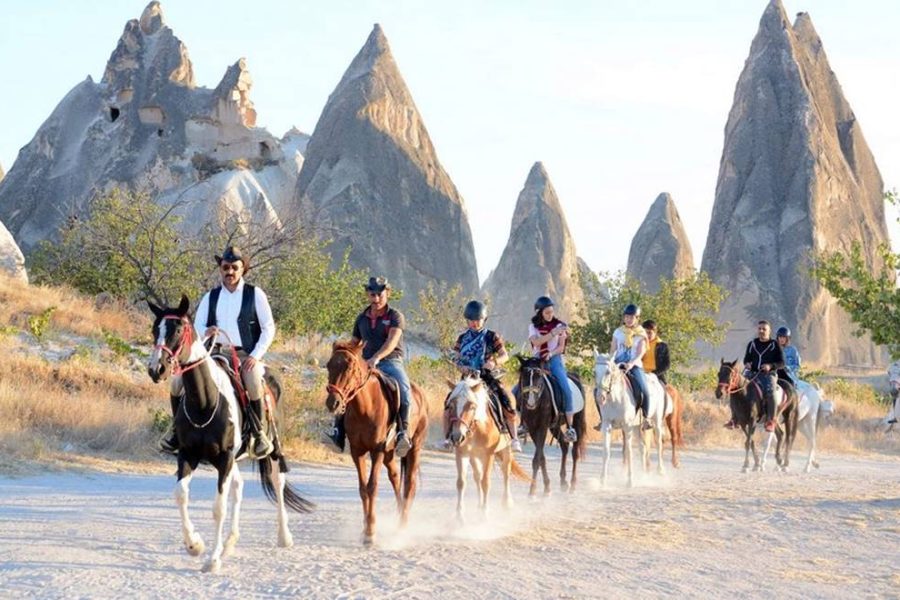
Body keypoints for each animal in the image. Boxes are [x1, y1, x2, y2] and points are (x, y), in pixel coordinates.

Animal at [148, 298, 312, 576]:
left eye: (178, 330)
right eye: (154, 329)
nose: (156, 369)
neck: (205, 401)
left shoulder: (224, 459)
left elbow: (218, 509)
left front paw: (212, 560)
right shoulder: (188, 455)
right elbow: (181, 495)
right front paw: (195, 545)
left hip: (272, 449)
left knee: (277, 482)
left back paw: (284, 536)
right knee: (239, 486)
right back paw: (230, 543)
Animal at [324, 340, 426, 548]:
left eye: (350, 367)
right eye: (329, 365)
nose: (333, 403)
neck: (365, 407)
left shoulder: (376, 451)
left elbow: (372, 487)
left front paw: (371, 533)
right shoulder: (358, 452)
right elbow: (363, 489)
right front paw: (365, 530)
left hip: (414, 448)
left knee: (409, 485)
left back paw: (403, 526)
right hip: (389, 453)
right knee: (395, 477)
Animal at [516, 358, 588, 494]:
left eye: (539, 376)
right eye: (524, 376)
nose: (531, 402)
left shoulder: (542, 428)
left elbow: (536, 459)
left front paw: (532, 491)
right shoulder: (533, 429)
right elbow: (541, 458)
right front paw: (547, 487)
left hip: (577, 421)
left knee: (575, 452)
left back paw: (573, 484)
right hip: (554, 426)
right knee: (564, 446)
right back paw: (563, 482)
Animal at [596, 352, 672, 488]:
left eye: (608, 372)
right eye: (595, 372)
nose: (600, 397)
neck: (616, 398)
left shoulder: (627, 426)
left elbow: (629, 451)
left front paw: (630, 481)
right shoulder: (606, 426)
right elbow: (606, 452)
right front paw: (602, 481)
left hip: (656, 422)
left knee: (658, 444)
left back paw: (660, 471)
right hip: (636, 426)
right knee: (643, 447)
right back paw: (643, 476)